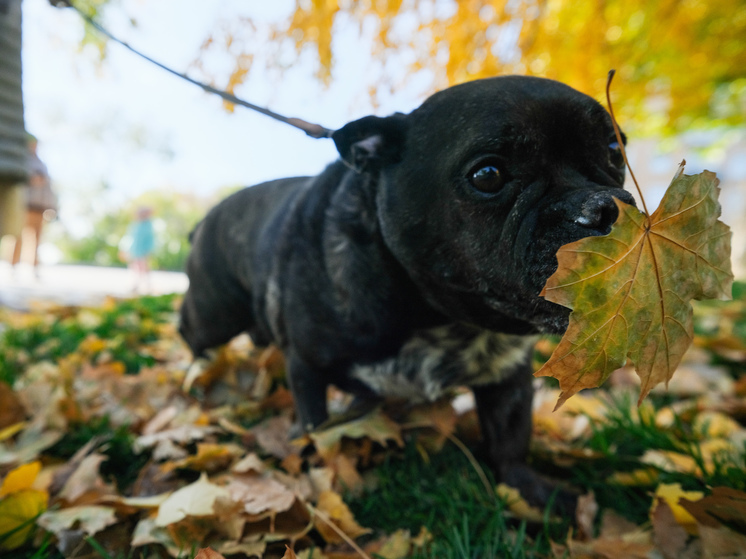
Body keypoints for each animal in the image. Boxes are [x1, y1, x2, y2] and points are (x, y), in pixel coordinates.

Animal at [180, 76, 632, 510]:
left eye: (616, 148)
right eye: (488, 175)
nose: (606, 207)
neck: (437, 317)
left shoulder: (509, 376)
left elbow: (511, 437)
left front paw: (531, 491)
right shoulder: (306, 367)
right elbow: (314, 427)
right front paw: (313, 474)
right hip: (215, 311)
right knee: (193, 329)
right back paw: (198, 372)